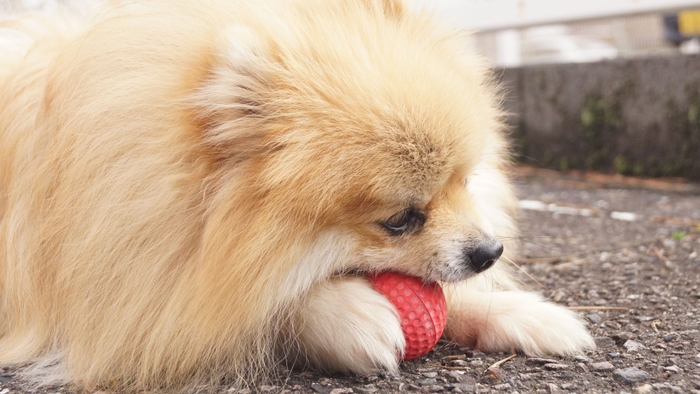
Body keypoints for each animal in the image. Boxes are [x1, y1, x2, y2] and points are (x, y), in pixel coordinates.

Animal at [0, 0, 596, 390]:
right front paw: (348, 314)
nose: (489, 251)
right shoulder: (140, 298)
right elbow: (262, 308)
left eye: (466, 181)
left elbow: (451, 295)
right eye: (400, 219)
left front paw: (520, 312)